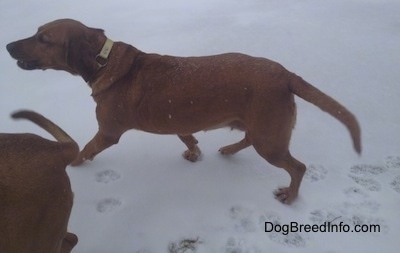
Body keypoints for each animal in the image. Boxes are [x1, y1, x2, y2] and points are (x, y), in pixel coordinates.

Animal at [7, 19, 362, 204]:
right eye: (36, 32)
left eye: (43, 38)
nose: (8, 46)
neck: (104, 60)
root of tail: (286, 74)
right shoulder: (175, 120)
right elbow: (187, 137)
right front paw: (194, 151)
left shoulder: (107, 132)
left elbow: (85, 151)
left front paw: (73, 166)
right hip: (261, 128)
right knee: (248, 139)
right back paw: (229, 149)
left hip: (270, 140)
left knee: (298, 167)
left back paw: (290, 194)